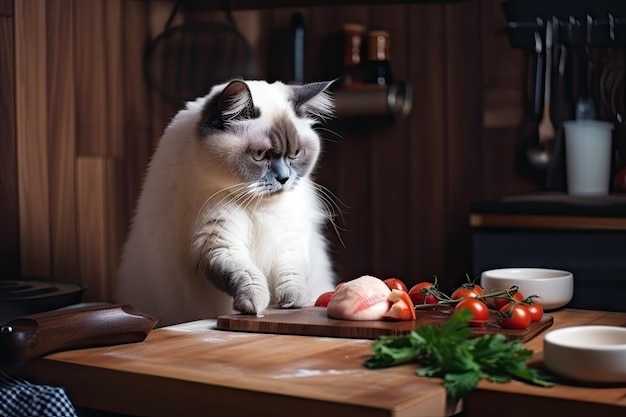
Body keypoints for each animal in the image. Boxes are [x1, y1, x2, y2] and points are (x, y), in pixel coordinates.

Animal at [116, 78, 336, 324]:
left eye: (295, 154)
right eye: (259, 155)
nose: (284, 179)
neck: (253, 203)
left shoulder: (288, 237)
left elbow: (292, 274)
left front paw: (292, 301)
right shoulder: (217, 239)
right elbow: (246, 275)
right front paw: (254, 307)